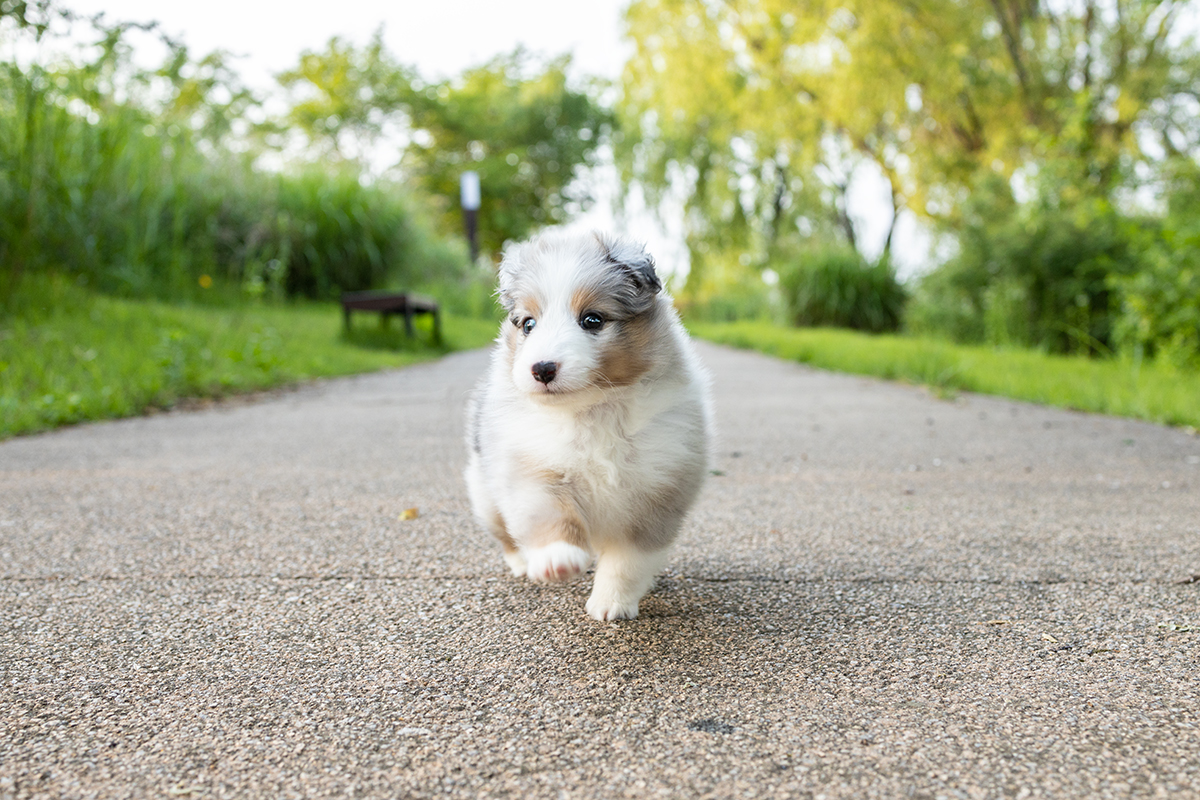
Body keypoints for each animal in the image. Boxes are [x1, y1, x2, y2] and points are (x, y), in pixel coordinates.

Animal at [465, 227, 710, 623]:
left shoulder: (655, 495)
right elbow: (549, 516)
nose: (541, 368)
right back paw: (523, 564)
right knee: (505, 535)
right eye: (528, 324)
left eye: (592, 320)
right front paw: (557, 559)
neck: (592, 410)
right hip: (485, 494)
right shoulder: (532, 468)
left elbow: (627, 561)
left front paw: (611, 604)